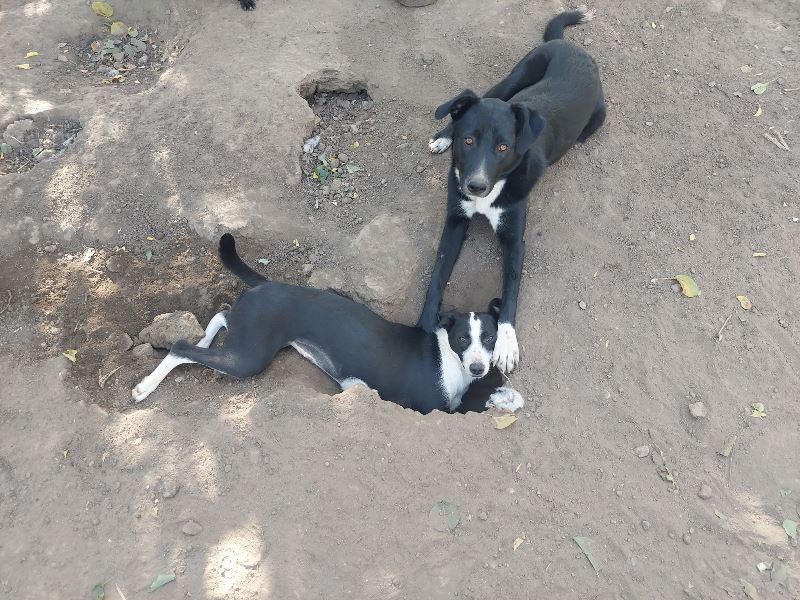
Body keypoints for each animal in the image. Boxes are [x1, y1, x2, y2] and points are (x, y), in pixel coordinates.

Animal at [133, 236, 524, 418]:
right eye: (462, 338)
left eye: (490, 337)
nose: (479, 368)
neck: (448, 361)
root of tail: (265, 285)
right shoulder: (435, 409)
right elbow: (481, 401)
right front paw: (505, 398)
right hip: (248, 358)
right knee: (181, 347)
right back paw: (145, 387)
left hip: (244, 340)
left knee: (220, 316)